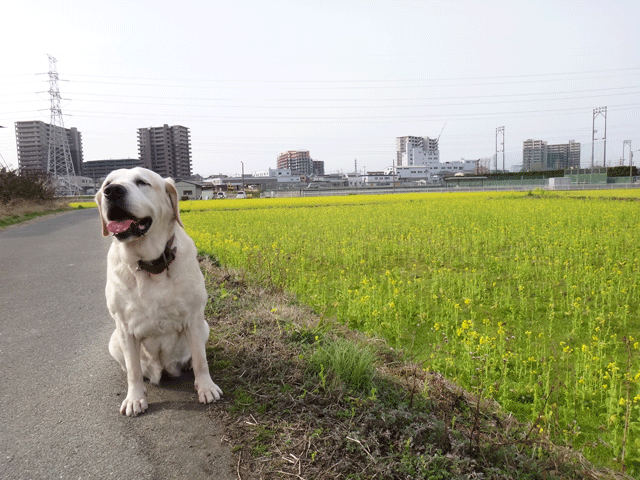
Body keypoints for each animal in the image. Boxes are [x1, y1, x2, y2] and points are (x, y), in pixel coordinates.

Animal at [95, 168, 222, 416]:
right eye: (107, 183)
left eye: (142, 182)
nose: (112, 191)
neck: (149, 265)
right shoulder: (124, 326)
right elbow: (134, 370)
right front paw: (135, 398)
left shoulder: (194, 317)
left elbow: (201, 360)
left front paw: (206, 387)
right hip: (113, 340)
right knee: (131, 365)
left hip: (204, 326)